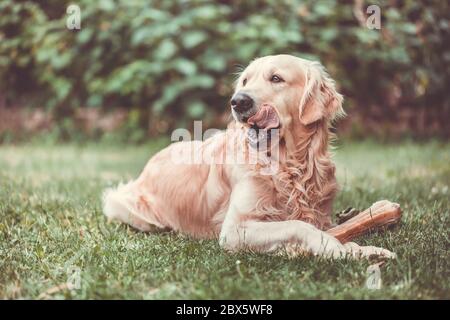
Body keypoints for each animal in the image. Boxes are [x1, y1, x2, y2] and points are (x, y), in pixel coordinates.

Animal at [102, 55, 394, 258]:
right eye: (244, 81)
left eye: (276, 78)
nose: (238, 101)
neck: (288, 165)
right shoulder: (234, 230)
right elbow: (298, 226)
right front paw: (333, 248)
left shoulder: (319, 214)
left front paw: (363, 249)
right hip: (126, 206)